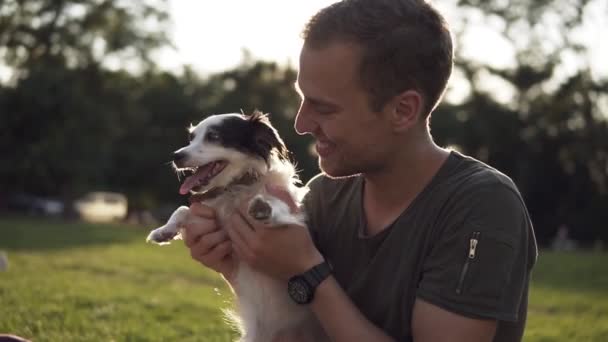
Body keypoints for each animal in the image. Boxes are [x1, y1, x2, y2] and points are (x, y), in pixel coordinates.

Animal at [145, 112, 326, 342]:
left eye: (213, 136)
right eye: (191, 139)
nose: (176, 155)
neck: (238, 186)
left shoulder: (294, 216)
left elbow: (278, 206)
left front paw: (263, 207)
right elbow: (182, 209)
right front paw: (164, 231)